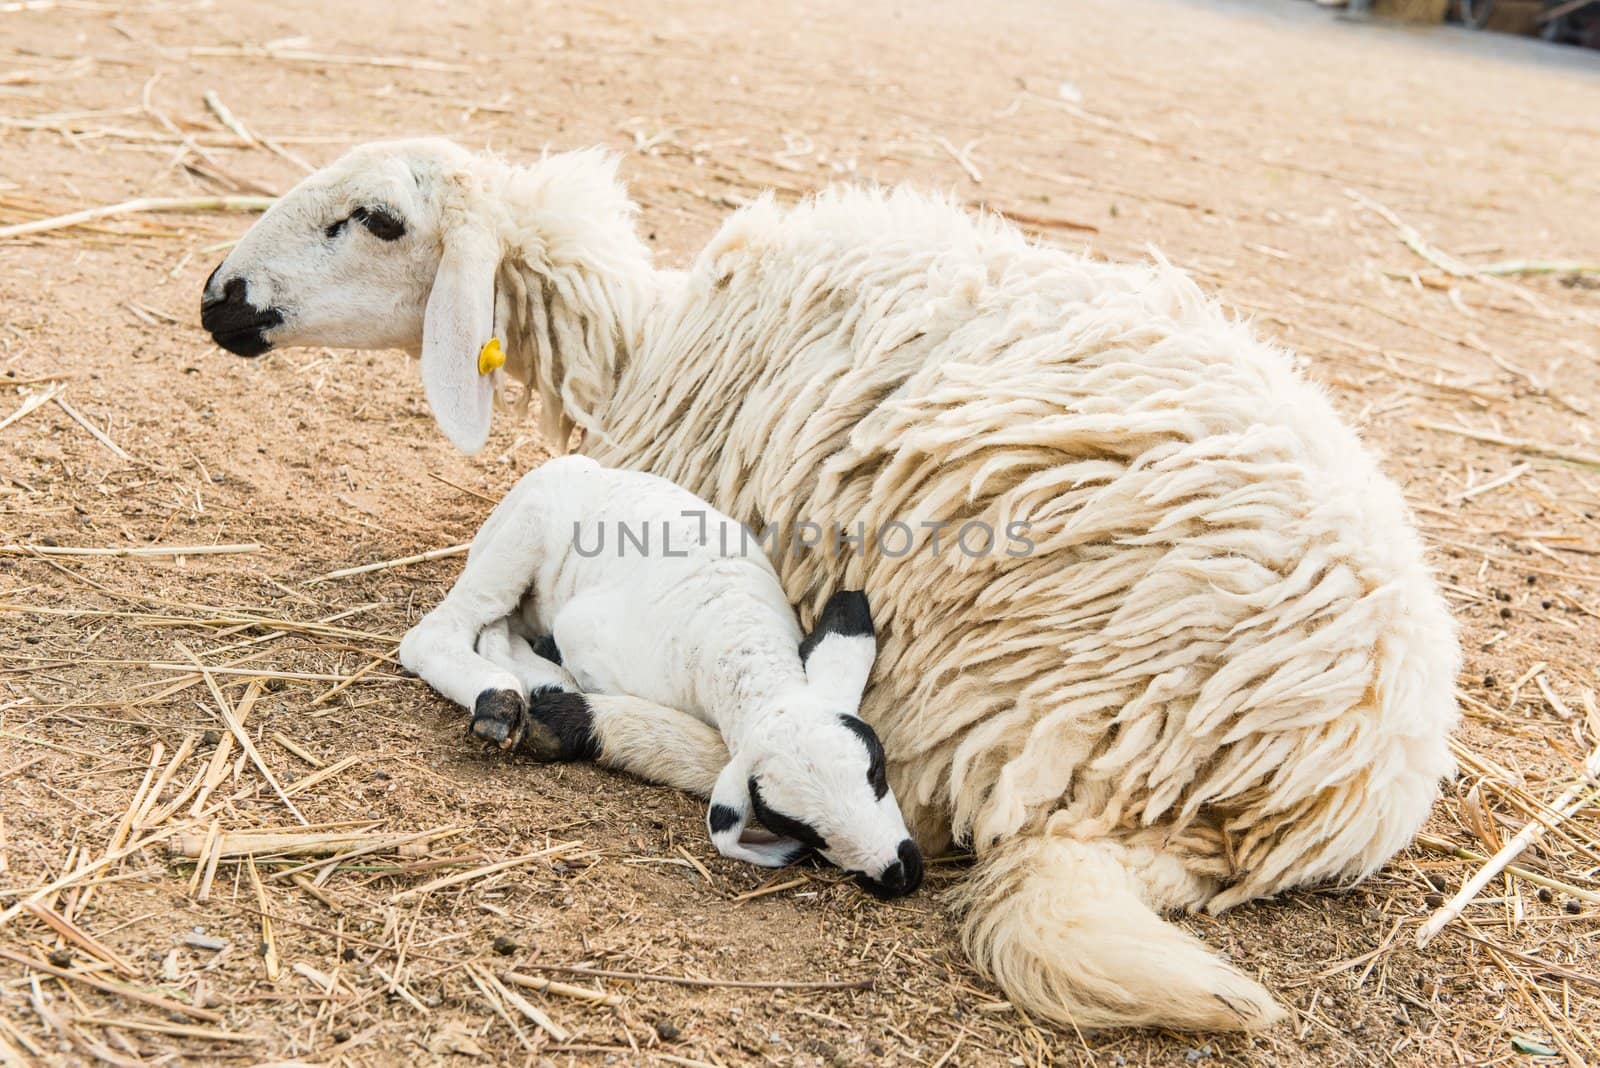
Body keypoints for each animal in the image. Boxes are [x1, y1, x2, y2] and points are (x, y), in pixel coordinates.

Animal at [395, 454, 928, 895]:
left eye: (876, 772)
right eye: (797, 828)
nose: (899, 873)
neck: (740, 648)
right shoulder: (588, 640)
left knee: (496, 629)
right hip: (523, 534)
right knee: (440, 633)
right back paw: (500, 701)